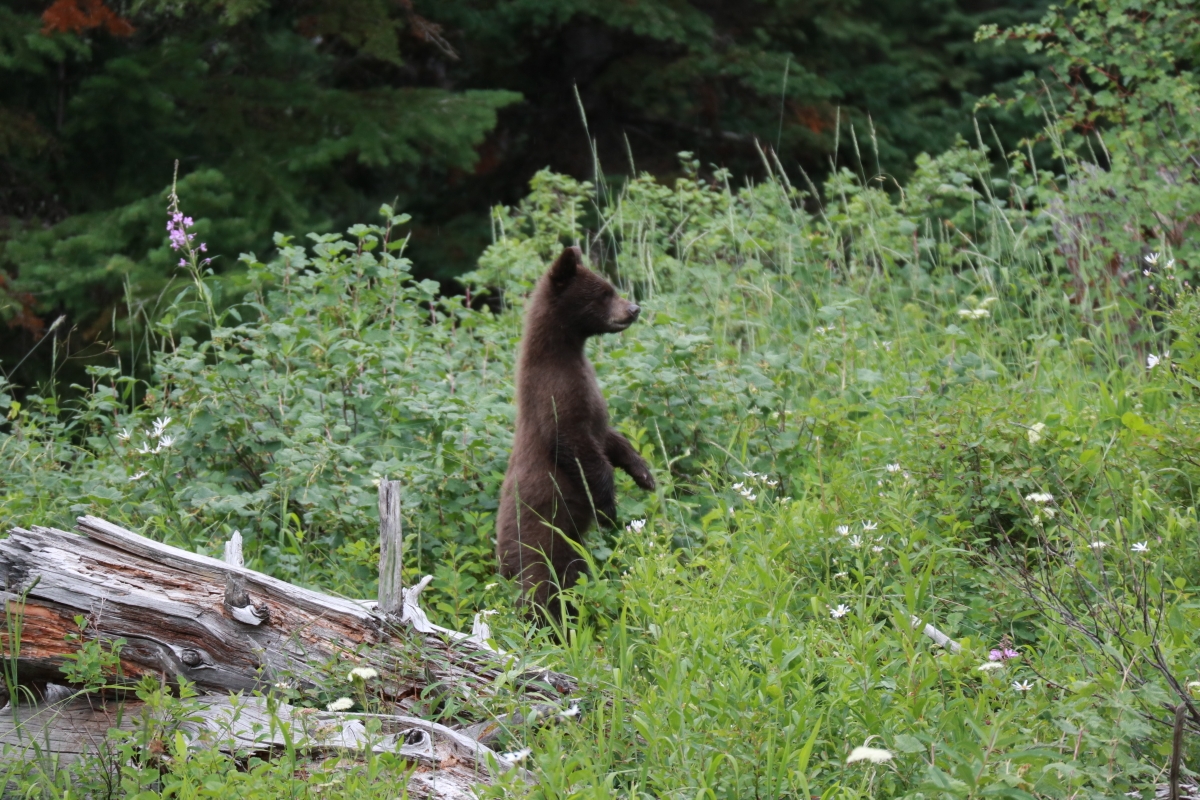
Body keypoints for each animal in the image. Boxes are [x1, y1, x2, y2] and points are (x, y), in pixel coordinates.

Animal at [496, 247, 657, 609]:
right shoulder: (555, 394)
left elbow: (609, 437)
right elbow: (575, 445)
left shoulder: (591, 397)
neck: (567, 353)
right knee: (540, 587)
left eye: (611, 287)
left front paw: (644, 474)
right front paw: (608, 507)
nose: (634, 308)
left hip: (569, 550)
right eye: (604, 293)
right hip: (540, 540)